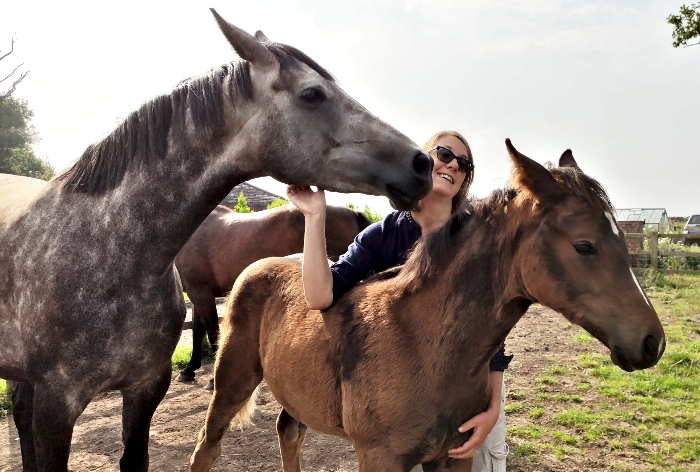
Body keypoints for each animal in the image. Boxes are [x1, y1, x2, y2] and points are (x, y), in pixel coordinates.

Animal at [175, 203, 372, 384]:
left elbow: (212, 331)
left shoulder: (201, 293)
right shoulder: (197, 294)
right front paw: (188, 370)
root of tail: (352, 213)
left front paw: (211, 379)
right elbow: (197, 330)